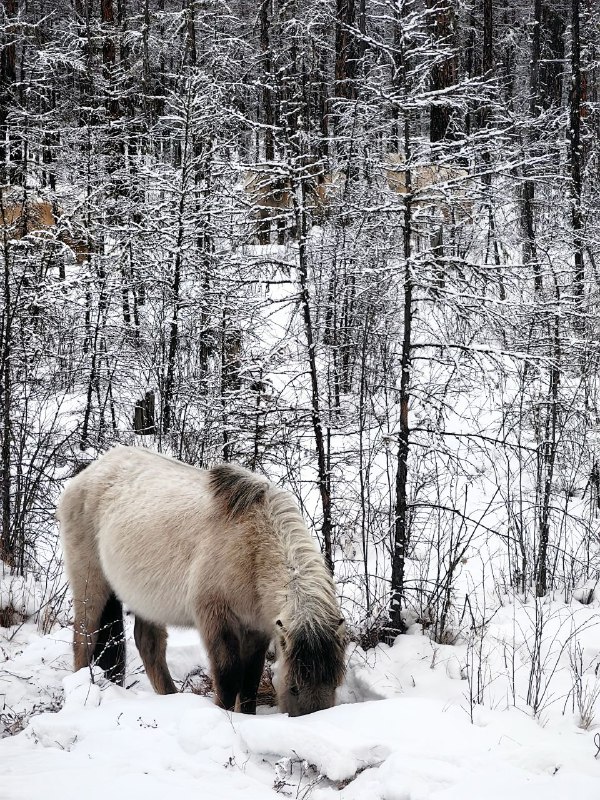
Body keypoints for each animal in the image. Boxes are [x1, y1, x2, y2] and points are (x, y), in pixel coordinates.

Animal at [57, 446, 346, 716]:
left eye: (334, 684)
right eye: (294, 687)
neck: (252, 544)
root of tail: (89, 472)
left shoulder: (257, 628)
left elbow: (250, 681)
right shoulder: (216, 619)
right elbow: (229, 677)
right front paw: (225, 716)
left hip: (146, 601)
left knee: (149, 645)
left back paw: (170, 698)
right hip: (91, 585)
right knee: (84, 638)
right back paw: (84, 688)